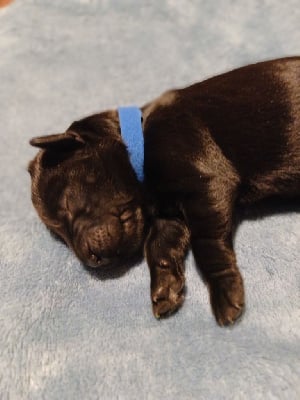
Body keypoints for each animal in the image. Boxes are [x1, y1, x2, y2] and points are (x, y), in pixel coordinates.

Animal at [28, 57, 300, 324]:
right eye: (58, 235)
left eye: (67, 203)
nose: (92, 261)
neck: (139, 140)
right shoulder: (170, 215)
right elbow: (159, 245)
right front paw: (165, 287)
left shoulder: (206, 182)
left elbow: (205, 243)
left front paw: (224, 291)